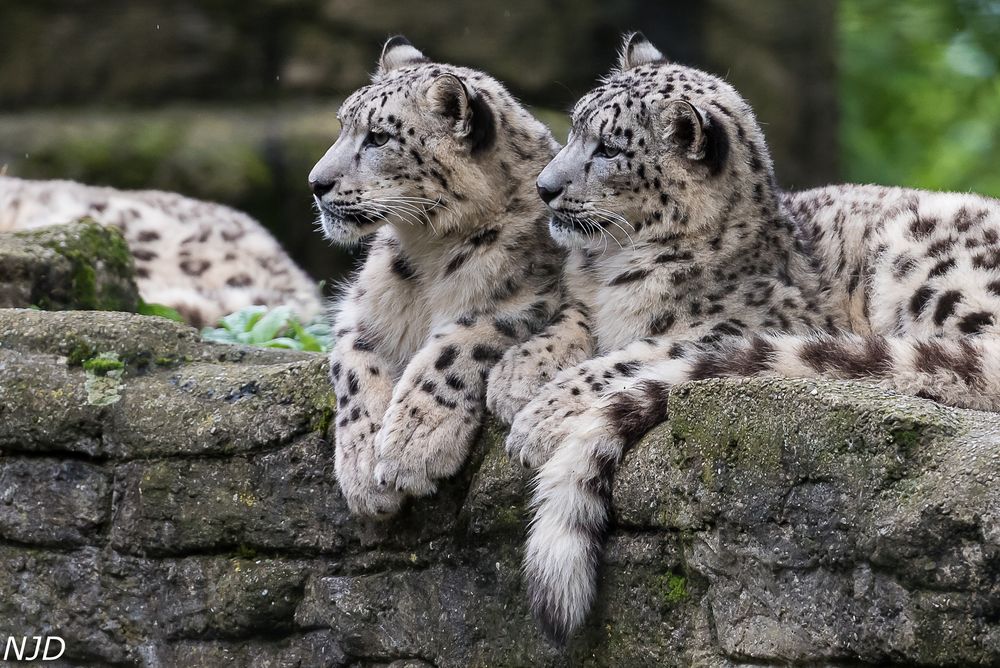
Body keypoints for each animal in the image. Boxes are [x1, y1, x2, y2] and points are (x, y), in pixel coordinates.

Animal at [310, 36, 564, 516]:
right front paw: (361, 466)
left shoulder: (531, 299)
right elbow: (352, 362)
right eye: (340, 126)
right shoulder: (358, 310)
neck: (427, 252)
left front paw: (413, 444)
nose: (316, 183)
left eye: (378, 136)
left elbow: (459, 343)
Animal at [490, 34, 1000, 644]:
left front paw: (537, 418)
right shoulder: (586, 304)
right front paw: (513, 376)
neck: (612, 269)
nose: (544, 188)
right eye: (572, 127)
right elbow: (569, 324)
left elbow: (632, 357)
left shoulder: (742, 324)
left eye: (609, 148)